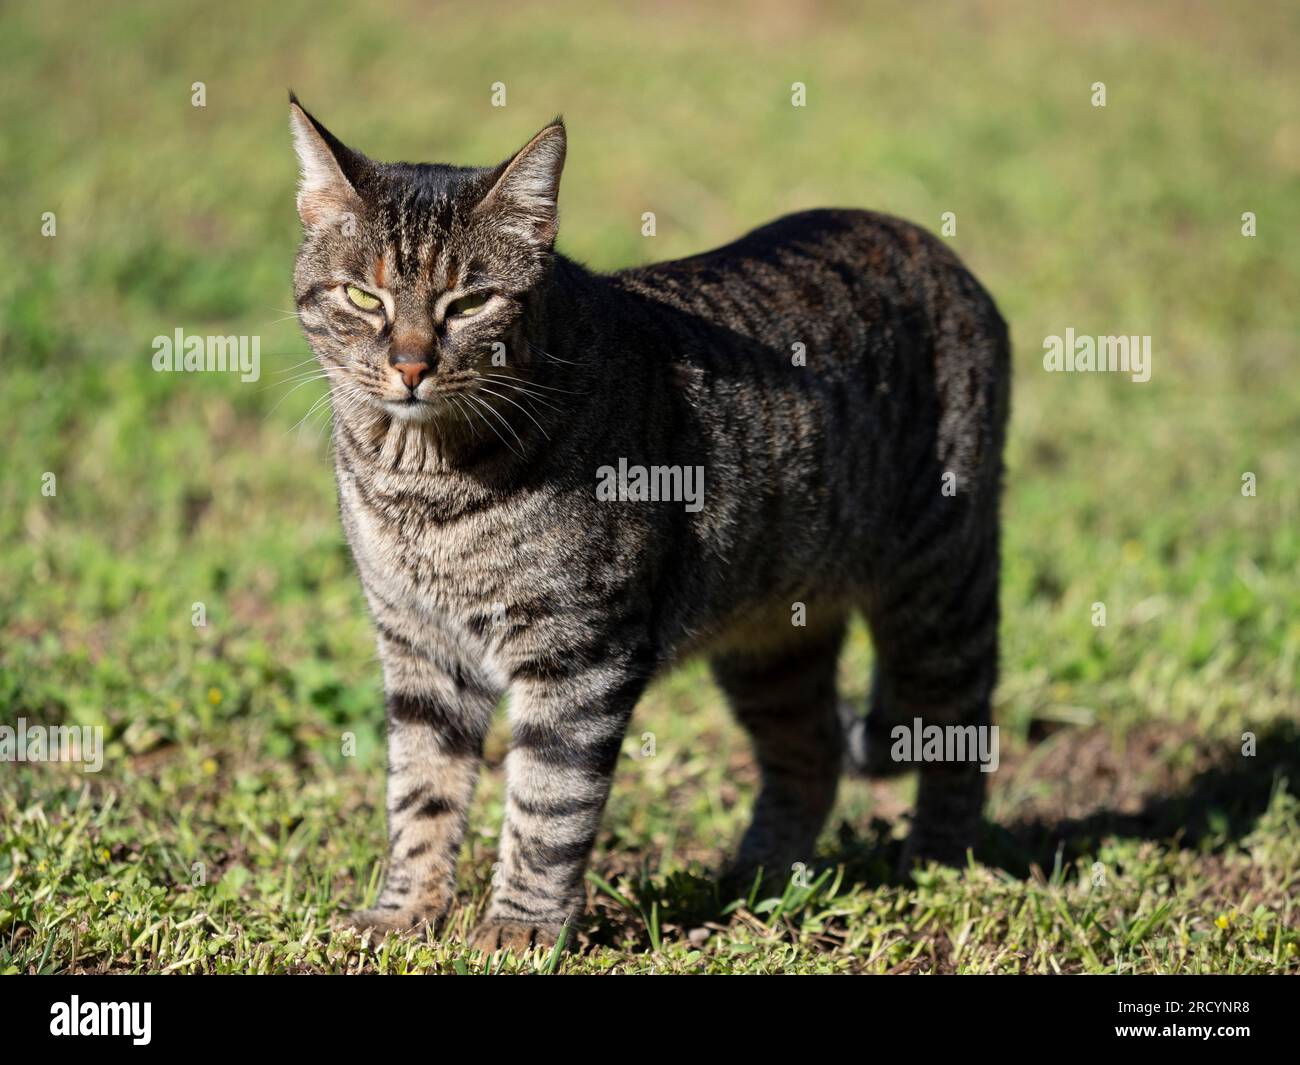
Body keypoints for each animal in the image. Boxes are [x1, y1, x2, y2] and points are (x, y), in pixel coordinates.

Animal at [289, 95, 1008, 951]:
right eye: (363, 298)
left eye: (467, 302)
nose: (409, 365)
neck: (425, 486)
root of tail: (929, 241)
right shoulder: (418, 647)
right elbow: (420, 794)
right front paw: (407, 911)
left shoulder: (578, 654)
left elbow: (547, 802)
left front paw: (520, 928)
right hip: (772, 640)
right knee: (811, 750)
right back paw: (755, 881)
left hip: (938, 595)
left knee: (962, 732)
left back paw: (937, 864)